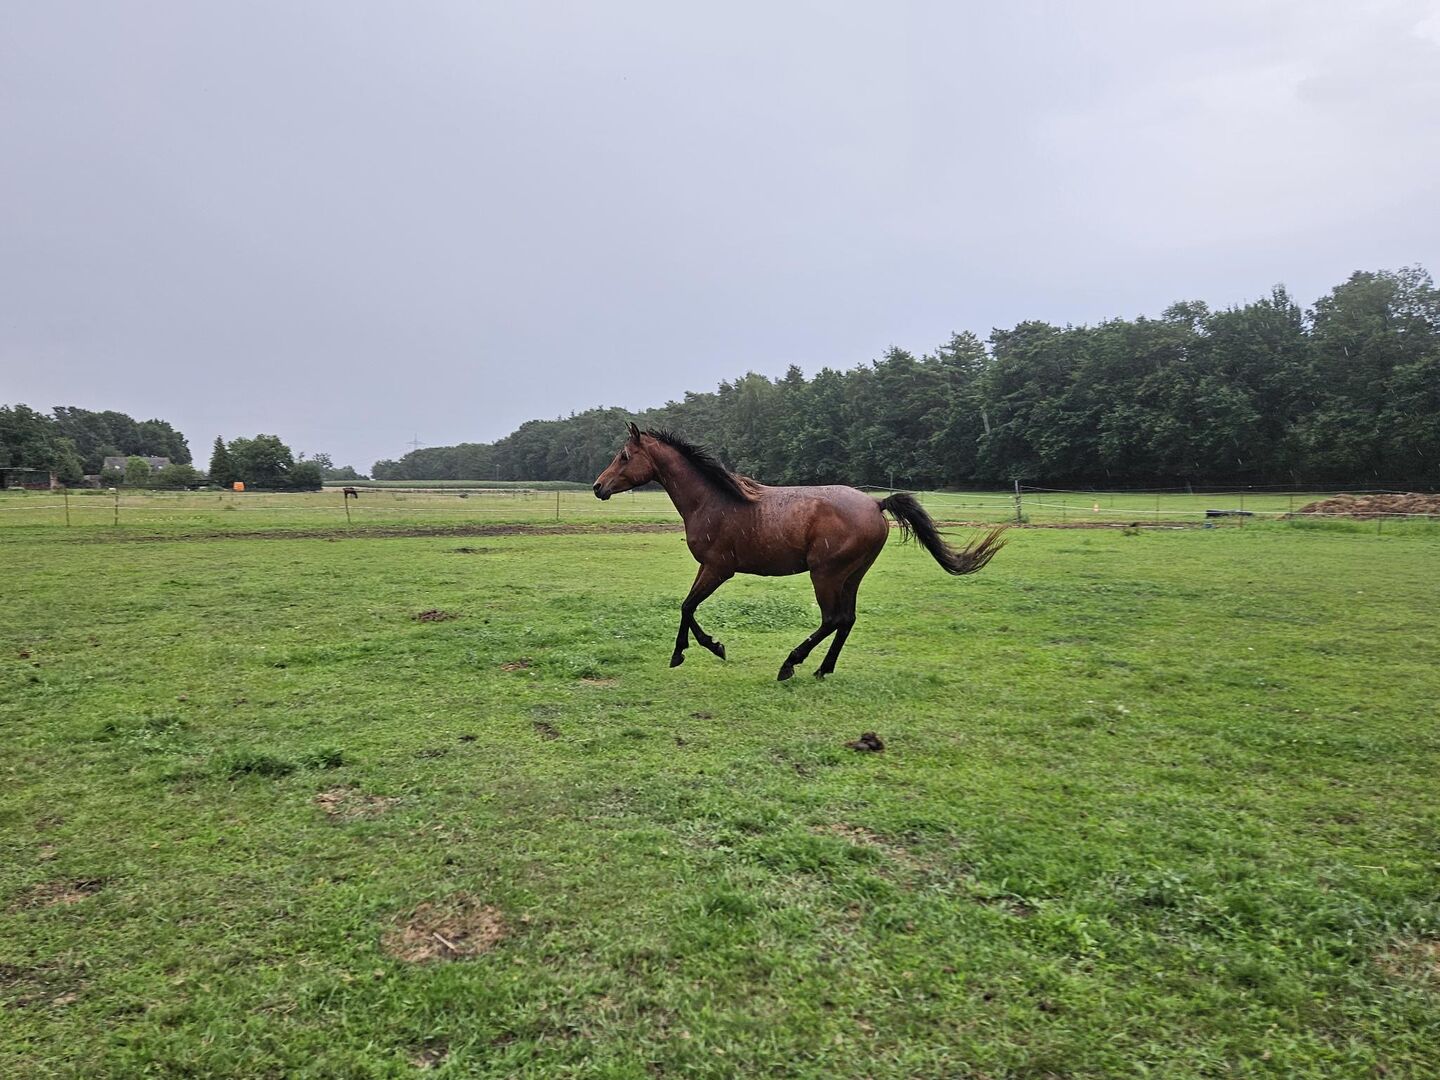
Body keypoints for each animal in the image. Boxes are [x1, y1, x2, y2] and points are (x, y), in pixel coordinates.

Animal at [593, 424, 1008, 680]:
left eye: (625, 456)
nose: (598, 487)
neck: (714, 501)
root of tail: (876, 504)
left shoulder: (718, 569)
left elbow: (687, 606)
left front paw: (700, 650)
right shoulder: (708, 568)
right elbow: (687, 607)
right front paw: (700, 649)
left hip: (825, 574)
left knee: (832, 619)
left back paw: (790, 664)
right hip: (852, 576)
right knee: (847, 619)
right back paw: (823, 669)